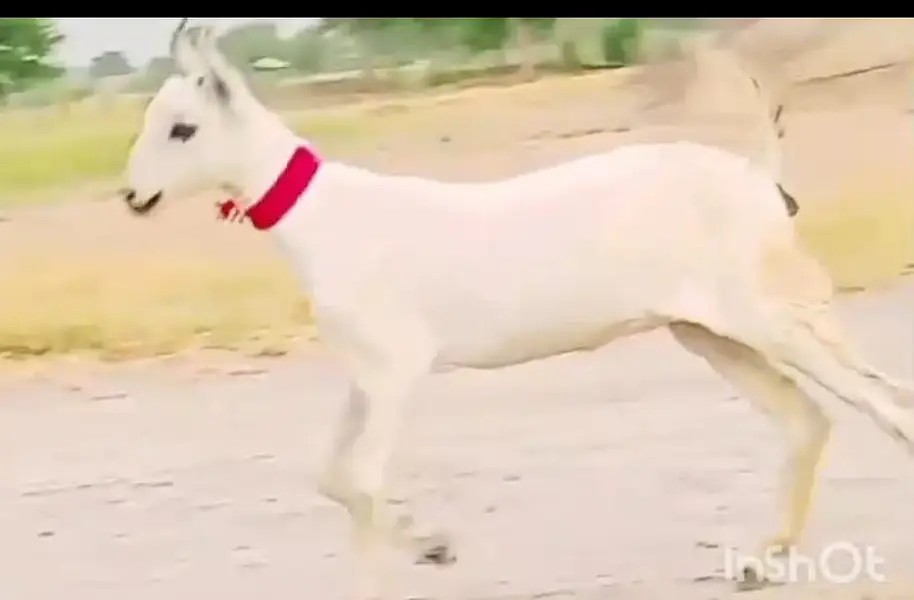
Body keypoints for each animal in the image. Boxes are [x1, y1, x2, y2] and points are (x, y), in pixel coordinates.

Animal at [120, 19, 914, 597]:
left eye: (183, 128)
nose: (133, 197)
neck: (327, 216)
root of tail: (758, 178)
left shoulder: (397, 370)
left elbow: (364, 482)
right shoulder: (365, 372)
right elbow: (332, 478)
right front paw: (436, 546)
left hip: (776, 315)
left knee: (887, 405)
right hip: (711, 333)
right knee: (808, 419)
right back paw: (759, 561)